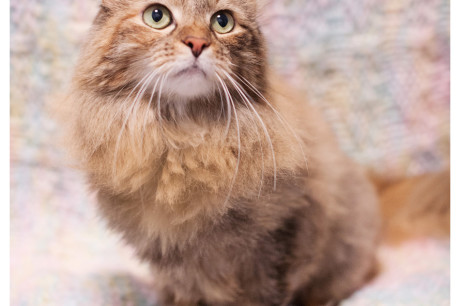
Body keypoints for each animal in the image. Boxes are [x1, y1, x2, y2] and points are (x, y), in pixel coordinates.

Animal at [60, 1, 380, 304]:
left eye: (222, 21)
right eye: (157, 16)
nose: (197, 43)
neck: (185, 141)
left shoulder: (275, 242)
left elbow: (262, 295)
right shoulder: (174, 263)